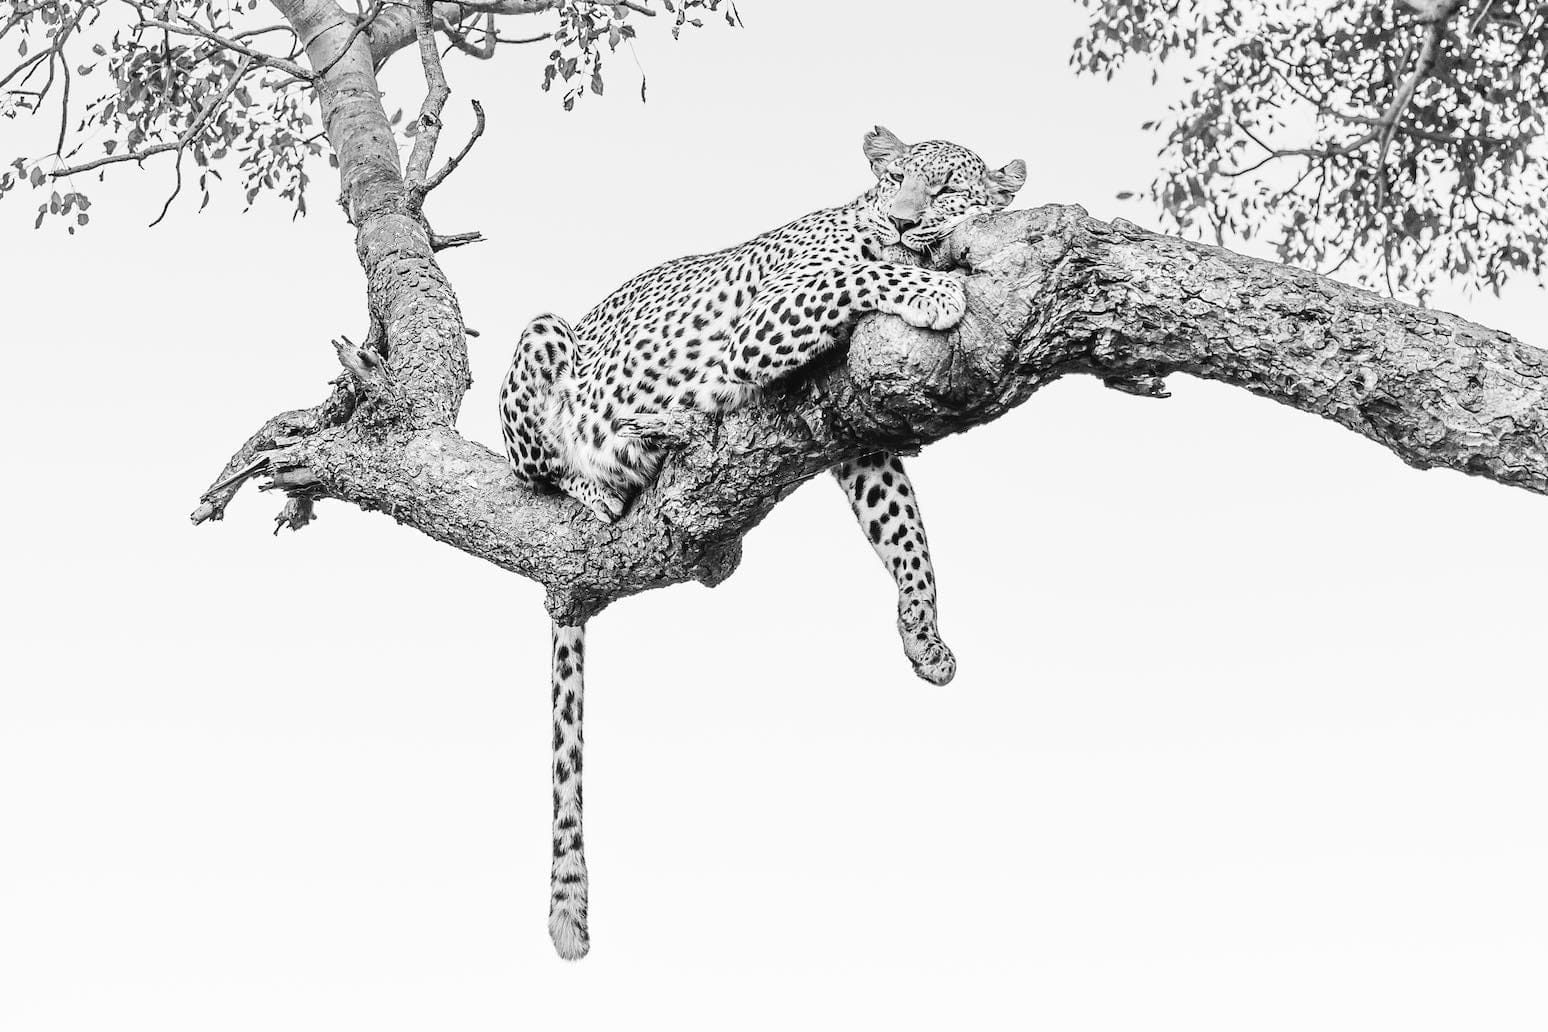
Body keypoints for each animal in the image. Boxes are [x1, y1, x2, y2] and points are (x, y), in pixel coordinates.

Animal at [499, 127, 1026, 959]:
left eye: (945, 188)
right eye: (898, 179)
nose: (907, 220)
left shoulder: (853, 426)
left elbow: (903, 526)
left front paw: (924, 635)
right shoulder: (767, 320)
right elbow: (858, 271)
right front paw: (935, 293)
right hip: (545, 336)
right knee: (538, 468)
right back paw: (605, 477)